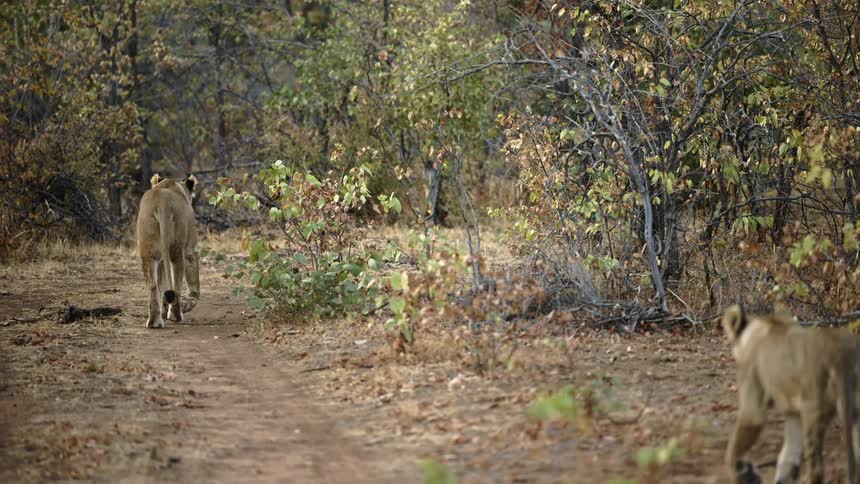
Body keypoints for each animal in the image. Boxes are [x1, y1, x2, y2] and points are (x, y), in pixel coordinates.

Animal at [136, 173, 200, 328]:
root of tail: (161, 204)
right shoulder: (189, 247)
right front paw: (190, 302)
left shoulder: (160, 258)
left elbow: (161, 283)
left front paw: (164, 312)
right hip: (177, 251)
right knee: (176, 286)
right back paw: (176, 315)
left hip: (148, 253)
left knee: (153, 286)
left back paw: (154, 322)